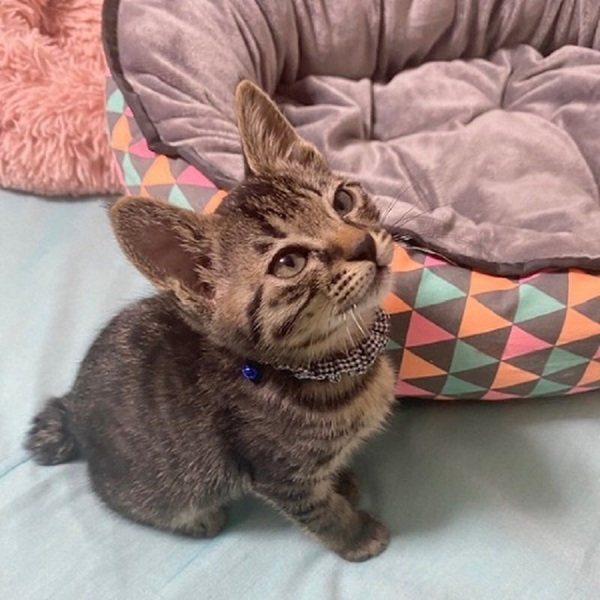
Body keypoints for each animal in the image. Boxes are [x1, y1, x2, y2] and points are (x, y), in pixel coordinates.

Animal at [26, 79, 396, 562]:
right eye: (289, 263)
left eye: (343, 200)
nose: (364, 244)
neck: (333, 363)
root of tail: (74, 410)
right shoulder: (279, 475)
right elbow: (319, 512)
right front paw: (355, 535)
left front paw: (343, 482)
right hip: (161, 486)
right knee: (126, 502)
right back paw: (198, 520)